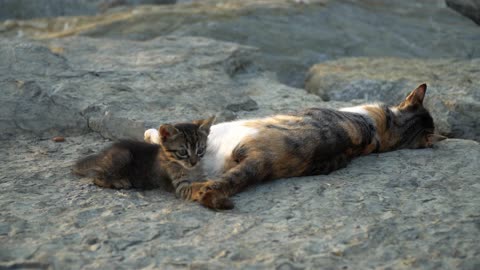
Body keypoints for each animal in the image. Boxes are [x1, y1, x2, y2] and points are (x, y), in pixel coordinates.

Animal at [72, 116, 215, 200]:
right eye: (183, 152)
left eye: (200, 150)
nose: (194, 162)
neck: (190, 170)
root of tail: (103, 153)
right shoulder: (181, 187)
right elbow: (196, 186)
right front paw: (211, 185)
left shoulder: (201, 174)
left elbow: (204, 180)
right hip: (124, 155)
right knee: (97, 178)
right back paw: (119, 181)